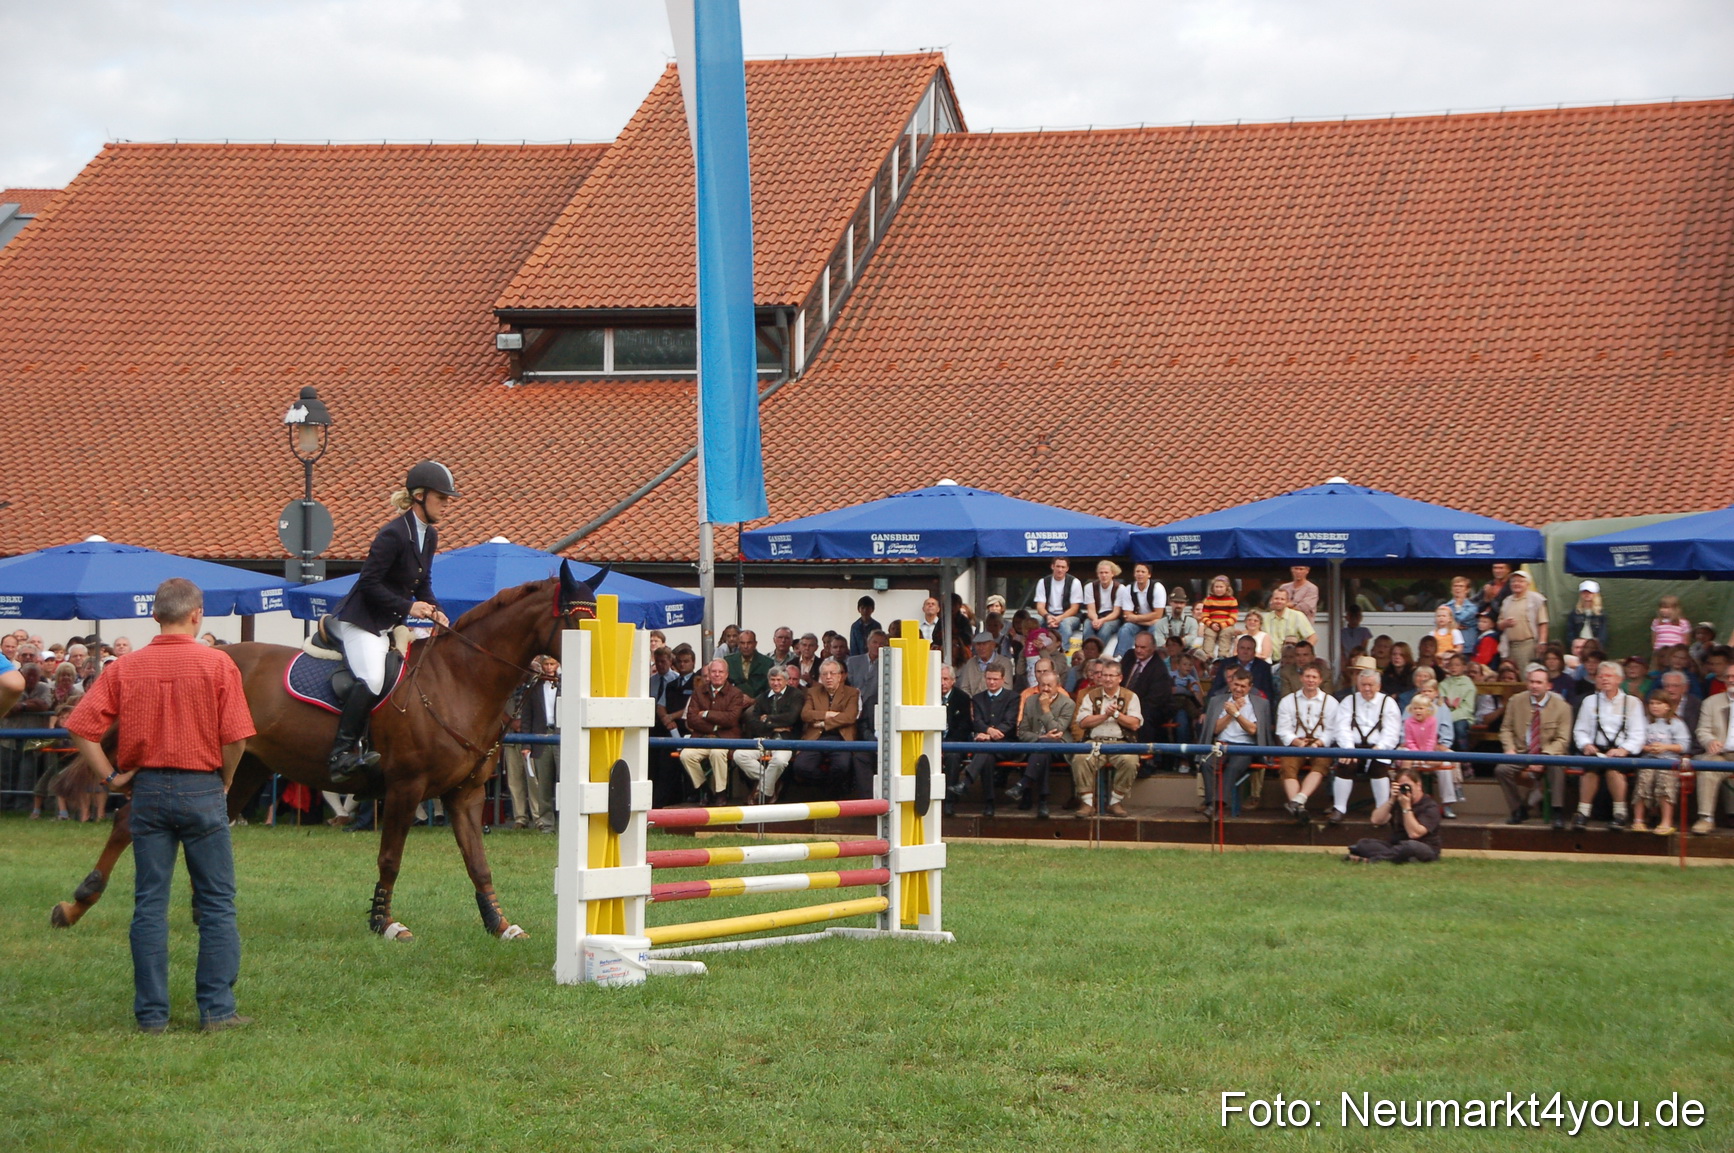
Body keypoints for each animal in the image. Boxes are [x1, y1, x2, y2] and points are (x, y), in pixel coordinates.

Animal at [49, 561, 601, 942]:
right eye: (576, 621)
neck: (459, 680)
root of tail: (208, 650)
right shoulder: (406, 789)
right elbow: (390, 858)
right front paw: (384, 923)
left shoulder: (465, 796)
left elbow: (478, 863)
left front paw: (500, 924)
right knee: (128, 822)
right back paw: (74, 905)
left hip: (244, 771)